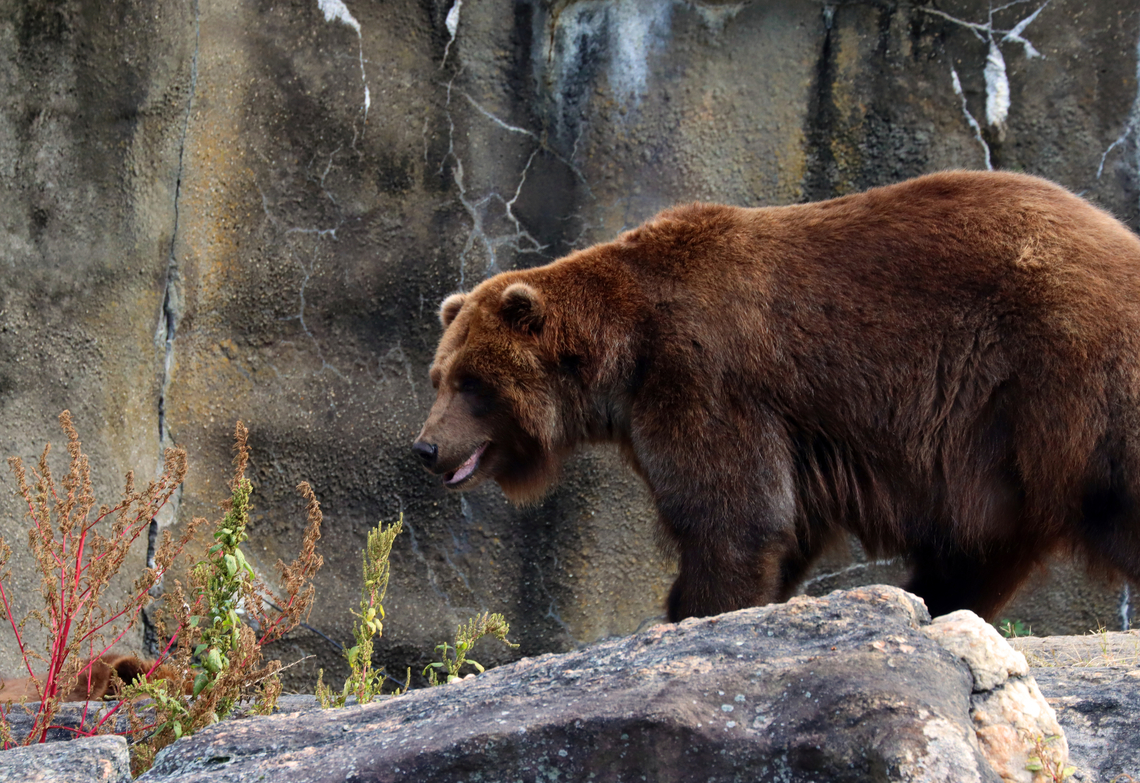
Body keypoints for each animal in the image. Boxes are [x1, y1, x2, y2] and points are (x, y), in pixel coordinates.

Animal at [413, 170, 1140, 622]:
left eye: (474, 384)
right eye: (439, 377)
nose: (425, 446)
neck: (621, 356)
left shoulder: (702, 375)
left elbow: (734, 517)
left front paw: (696, 609)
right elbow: (780, 524)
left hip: (1063, 373)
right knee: (980, 550)